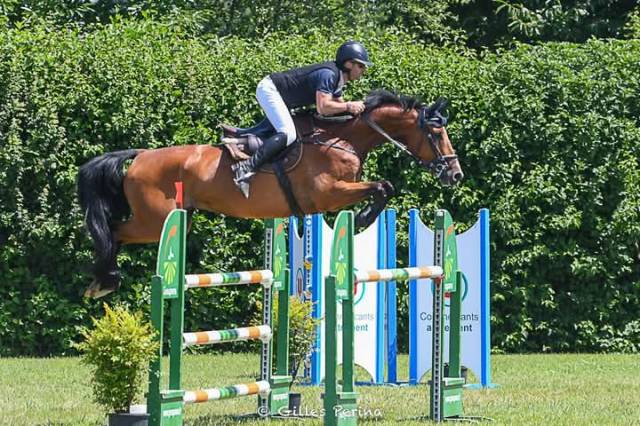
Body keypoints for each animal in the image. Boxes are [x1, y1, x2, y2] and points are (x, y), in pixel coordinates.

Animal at [77, 89, 463, 298]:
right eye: (436, 135)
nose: (455, 174)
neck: (342, 138)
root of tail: (141, 155)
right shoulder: (329, 194)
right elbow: (383, 186)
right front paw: (365, 219)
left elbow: (383, 187)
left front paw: (364, 217)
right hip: (155, 221)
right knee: (113, 232)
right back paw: (104, 281)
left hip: (171, 220)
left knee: (116, 233)